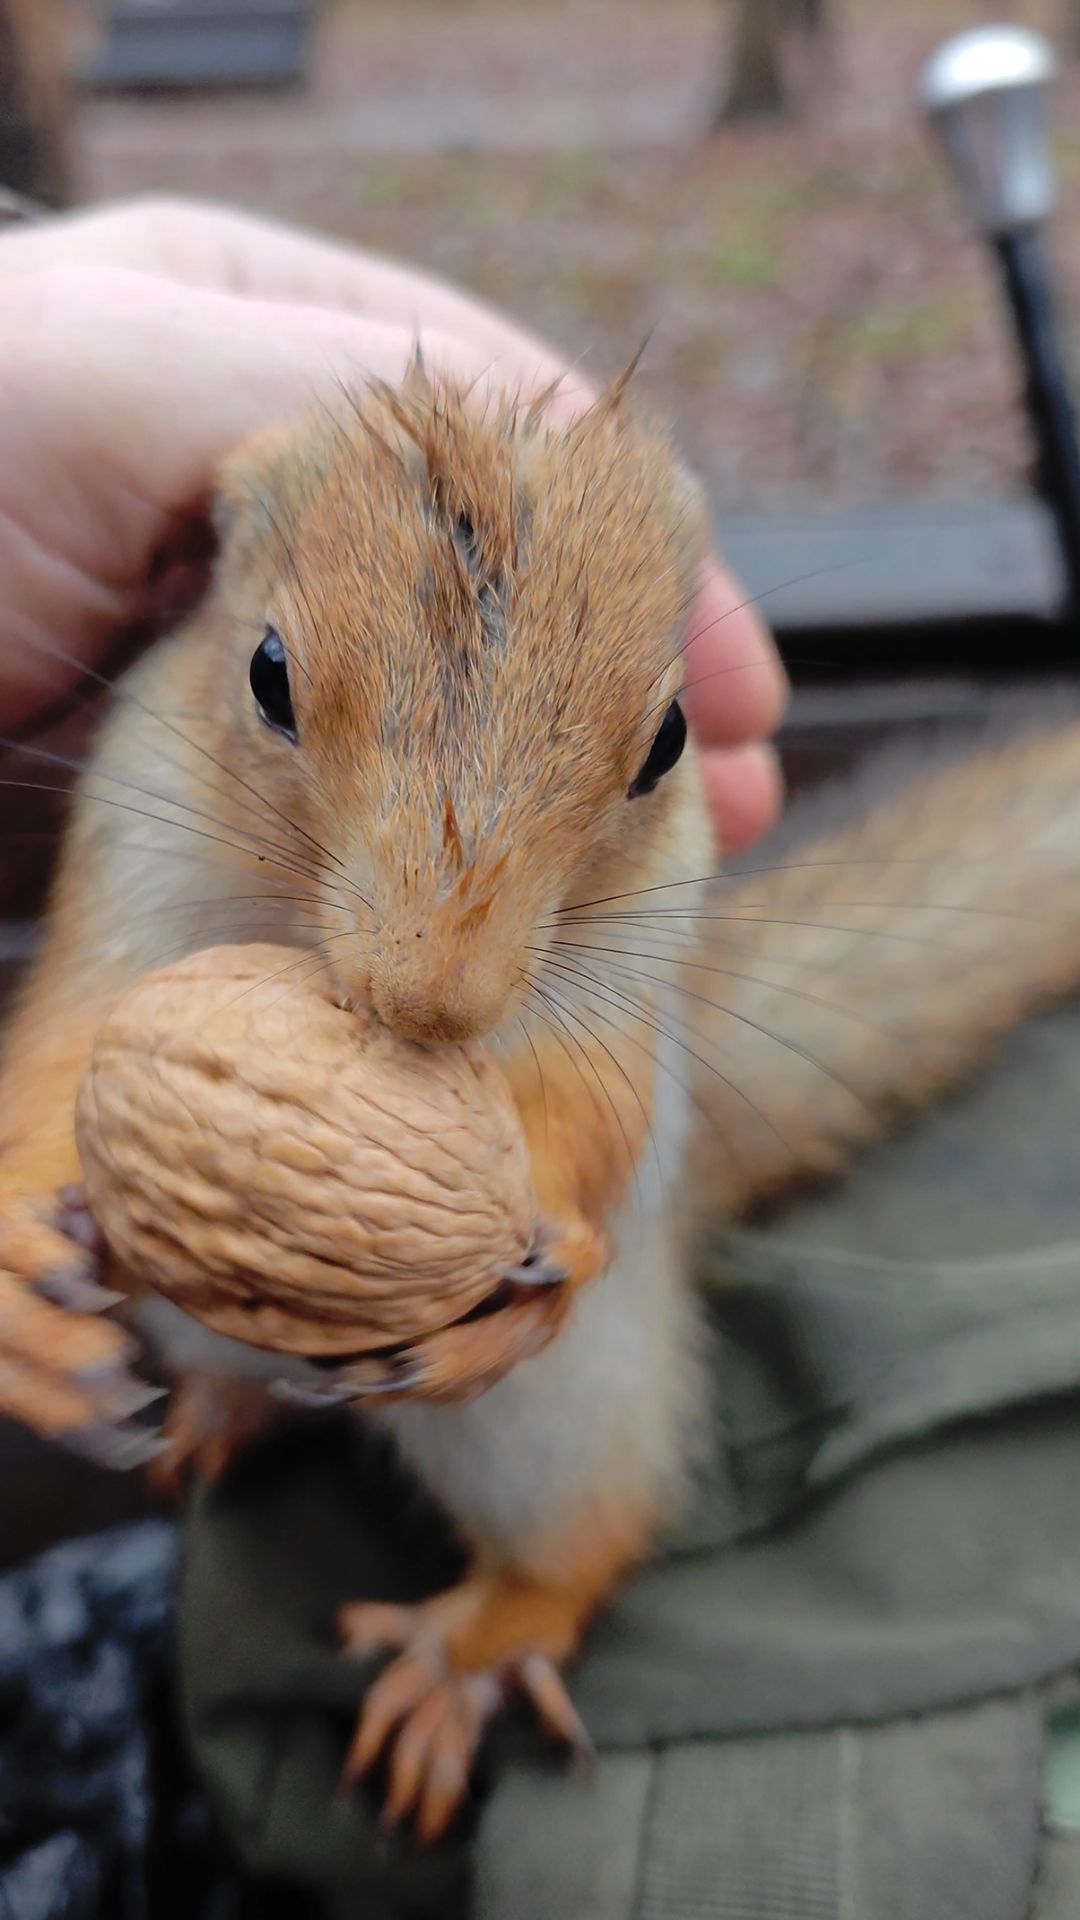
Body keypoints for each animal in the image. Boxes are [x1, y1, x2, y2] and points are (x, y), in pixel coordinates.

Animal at [3, 365, 1080, 1841]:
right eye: (266, 675)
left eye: (669, 741)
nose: (434, 1002)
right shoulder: (133, 862)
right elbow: (64, 1048)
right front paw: (17, 1298)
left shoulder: (617, 981)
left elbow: (585, 1111)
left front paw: (550, 1247)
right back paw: (215, 1415)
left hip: (559, 1425)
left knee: (586, 1532)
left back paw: (471, 1651)